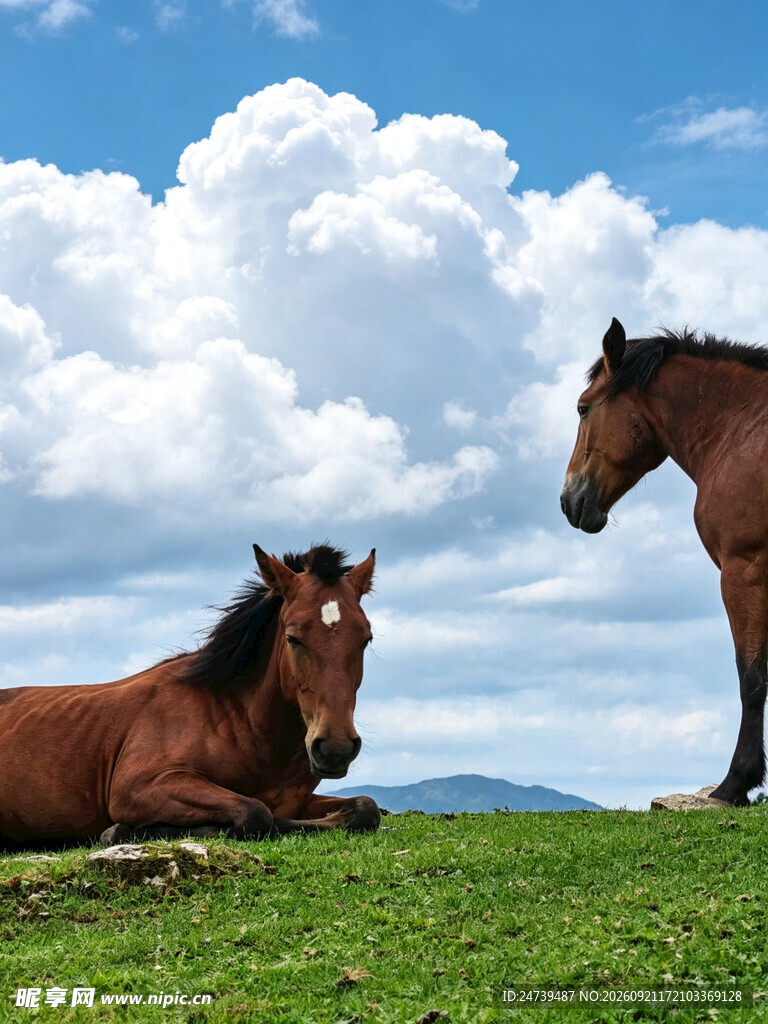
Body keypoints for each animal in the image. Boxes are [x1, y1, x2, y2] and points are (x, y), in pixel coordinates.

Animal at [0, 543, 381, 847]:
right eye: (293, 638)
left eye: (365, 638)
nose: (335, 747)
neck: (238, 722)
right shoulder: (140, 786)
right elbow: (256, 813)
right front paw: (124, 831)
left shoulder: (299, 800)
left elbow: (366, 808)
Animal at [561, 317, 768, 806]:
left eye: (582, 409)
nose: (568, 499)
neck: (742, 431)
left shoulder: (744, 571)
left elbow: (751, 678)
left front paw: (735, 783)